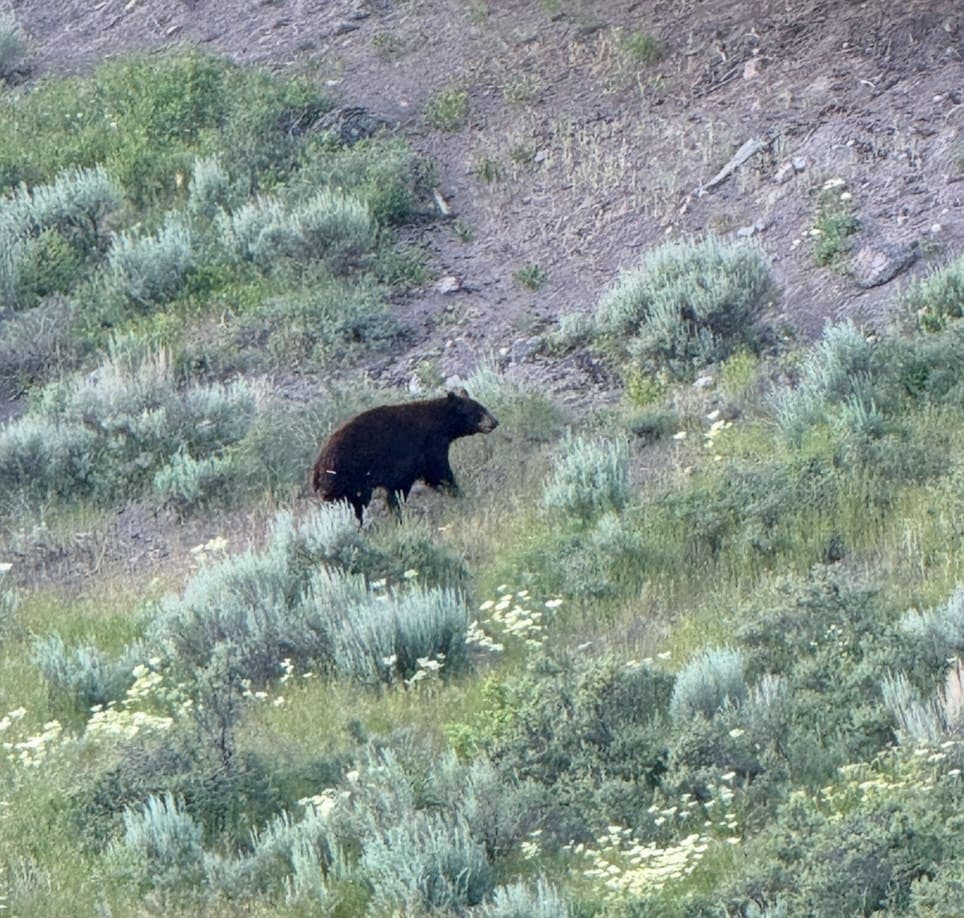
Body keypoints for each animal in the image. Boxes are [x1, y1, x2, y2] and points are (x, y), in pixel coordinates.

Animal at [311, 389, 499, 522]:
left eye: (483, 407)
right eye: (477, 411)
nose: (495, 421)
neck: (442, 423)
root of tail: (317, 467)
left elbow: (399, 488)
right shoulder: (427, 445)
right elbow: (437, 473)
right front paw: (460, 493)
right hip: (346, 477)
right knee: (352, 504)